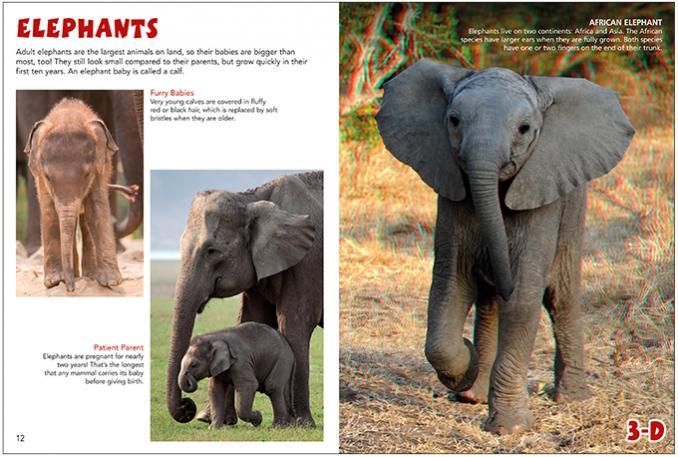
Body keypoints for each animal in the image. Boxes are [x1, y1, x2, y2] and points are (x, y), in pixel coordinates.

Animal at [24, 98, 123, 291]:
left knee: (84, 222)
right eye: (48, 176)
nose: (70, 289)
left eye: (86, 175)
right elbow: (50, 212)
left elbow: (96, 209)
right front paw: (54, 281)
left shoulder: (100, 169)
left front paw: (111, 282)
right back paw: (78, 275)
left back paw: (89, 275)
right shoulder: (39, 177)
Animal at [166, 171, 323, 427]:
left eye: (212, 250)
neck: (250, 199)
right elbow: (253, 320)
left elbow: (294, 324)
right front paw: (212, 420)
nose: (187, 407)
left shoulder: (307, 263)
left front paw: (301, 424)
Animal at [376, 60, 634, 434]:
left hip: (573, 213)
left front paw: (510, 428)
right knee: (490, 301)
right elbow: (451, 286)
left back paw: (571, 399)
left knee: (560, 296)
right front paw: (466, 366)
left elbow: (523, 297)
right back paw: (473, 395)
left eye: (524, 129)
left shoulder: (540, 195)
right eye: (453, 120)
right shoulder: (453, 197)